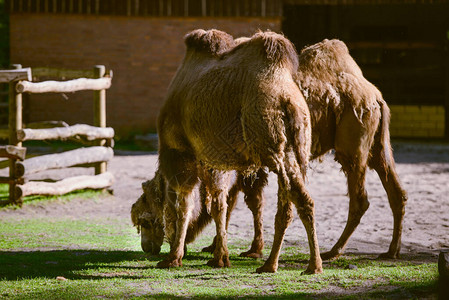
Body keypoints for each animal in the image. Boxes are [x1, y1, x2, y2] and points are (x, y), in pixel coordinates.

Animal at [156, 28, 320, 274]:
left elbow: (184, 204)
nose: (150, 246)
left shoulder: (179, 152)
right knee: (303, 200)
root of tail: (288, 99)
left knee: (285, 205)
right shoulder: (213, 159)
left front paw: (174, 258)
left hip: (269, 142)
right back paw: (312, 265)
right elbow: (219, 203)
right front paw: (219, 257)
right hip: (293, 148)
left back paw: (271, 264)